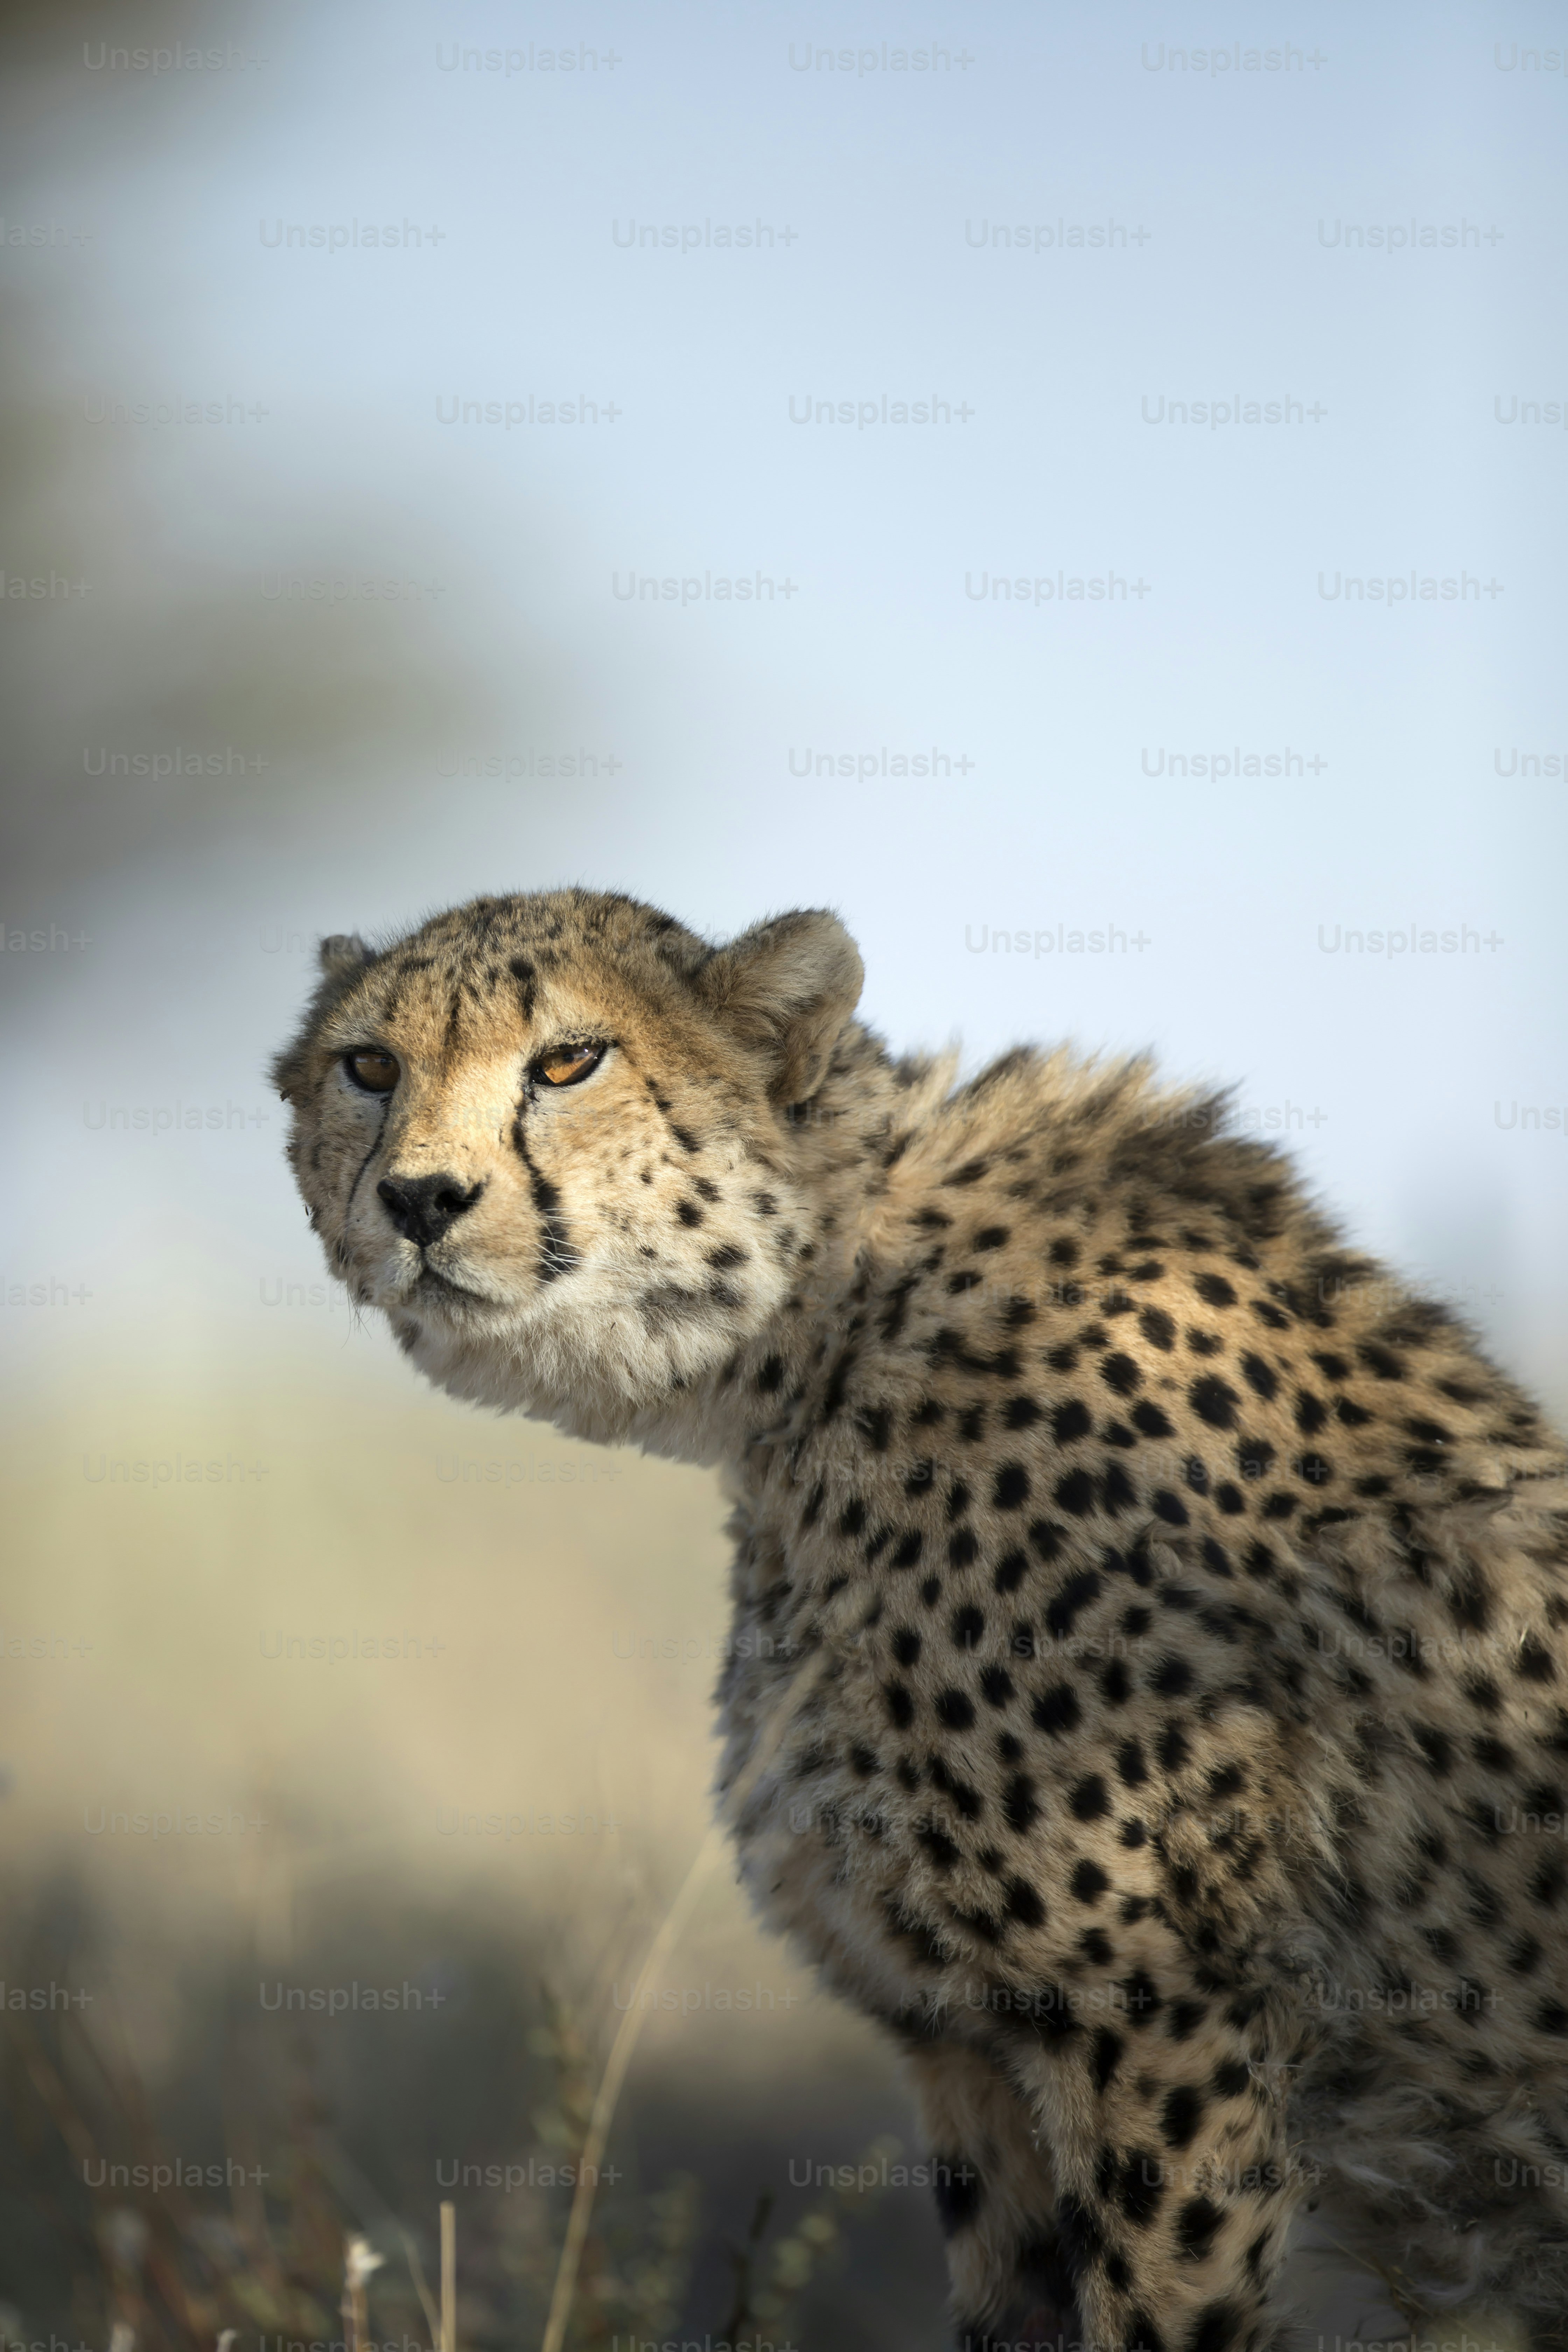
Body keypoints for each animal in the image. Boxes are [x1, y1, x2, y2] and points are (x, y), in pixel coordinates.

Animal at [273, 886, 1568, 2352]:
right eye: (368, 1065)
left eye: (568, 1063)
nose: (419, 1199)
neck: (819, 1330)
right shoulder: (963, 2037)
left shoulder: (1157, 2013)